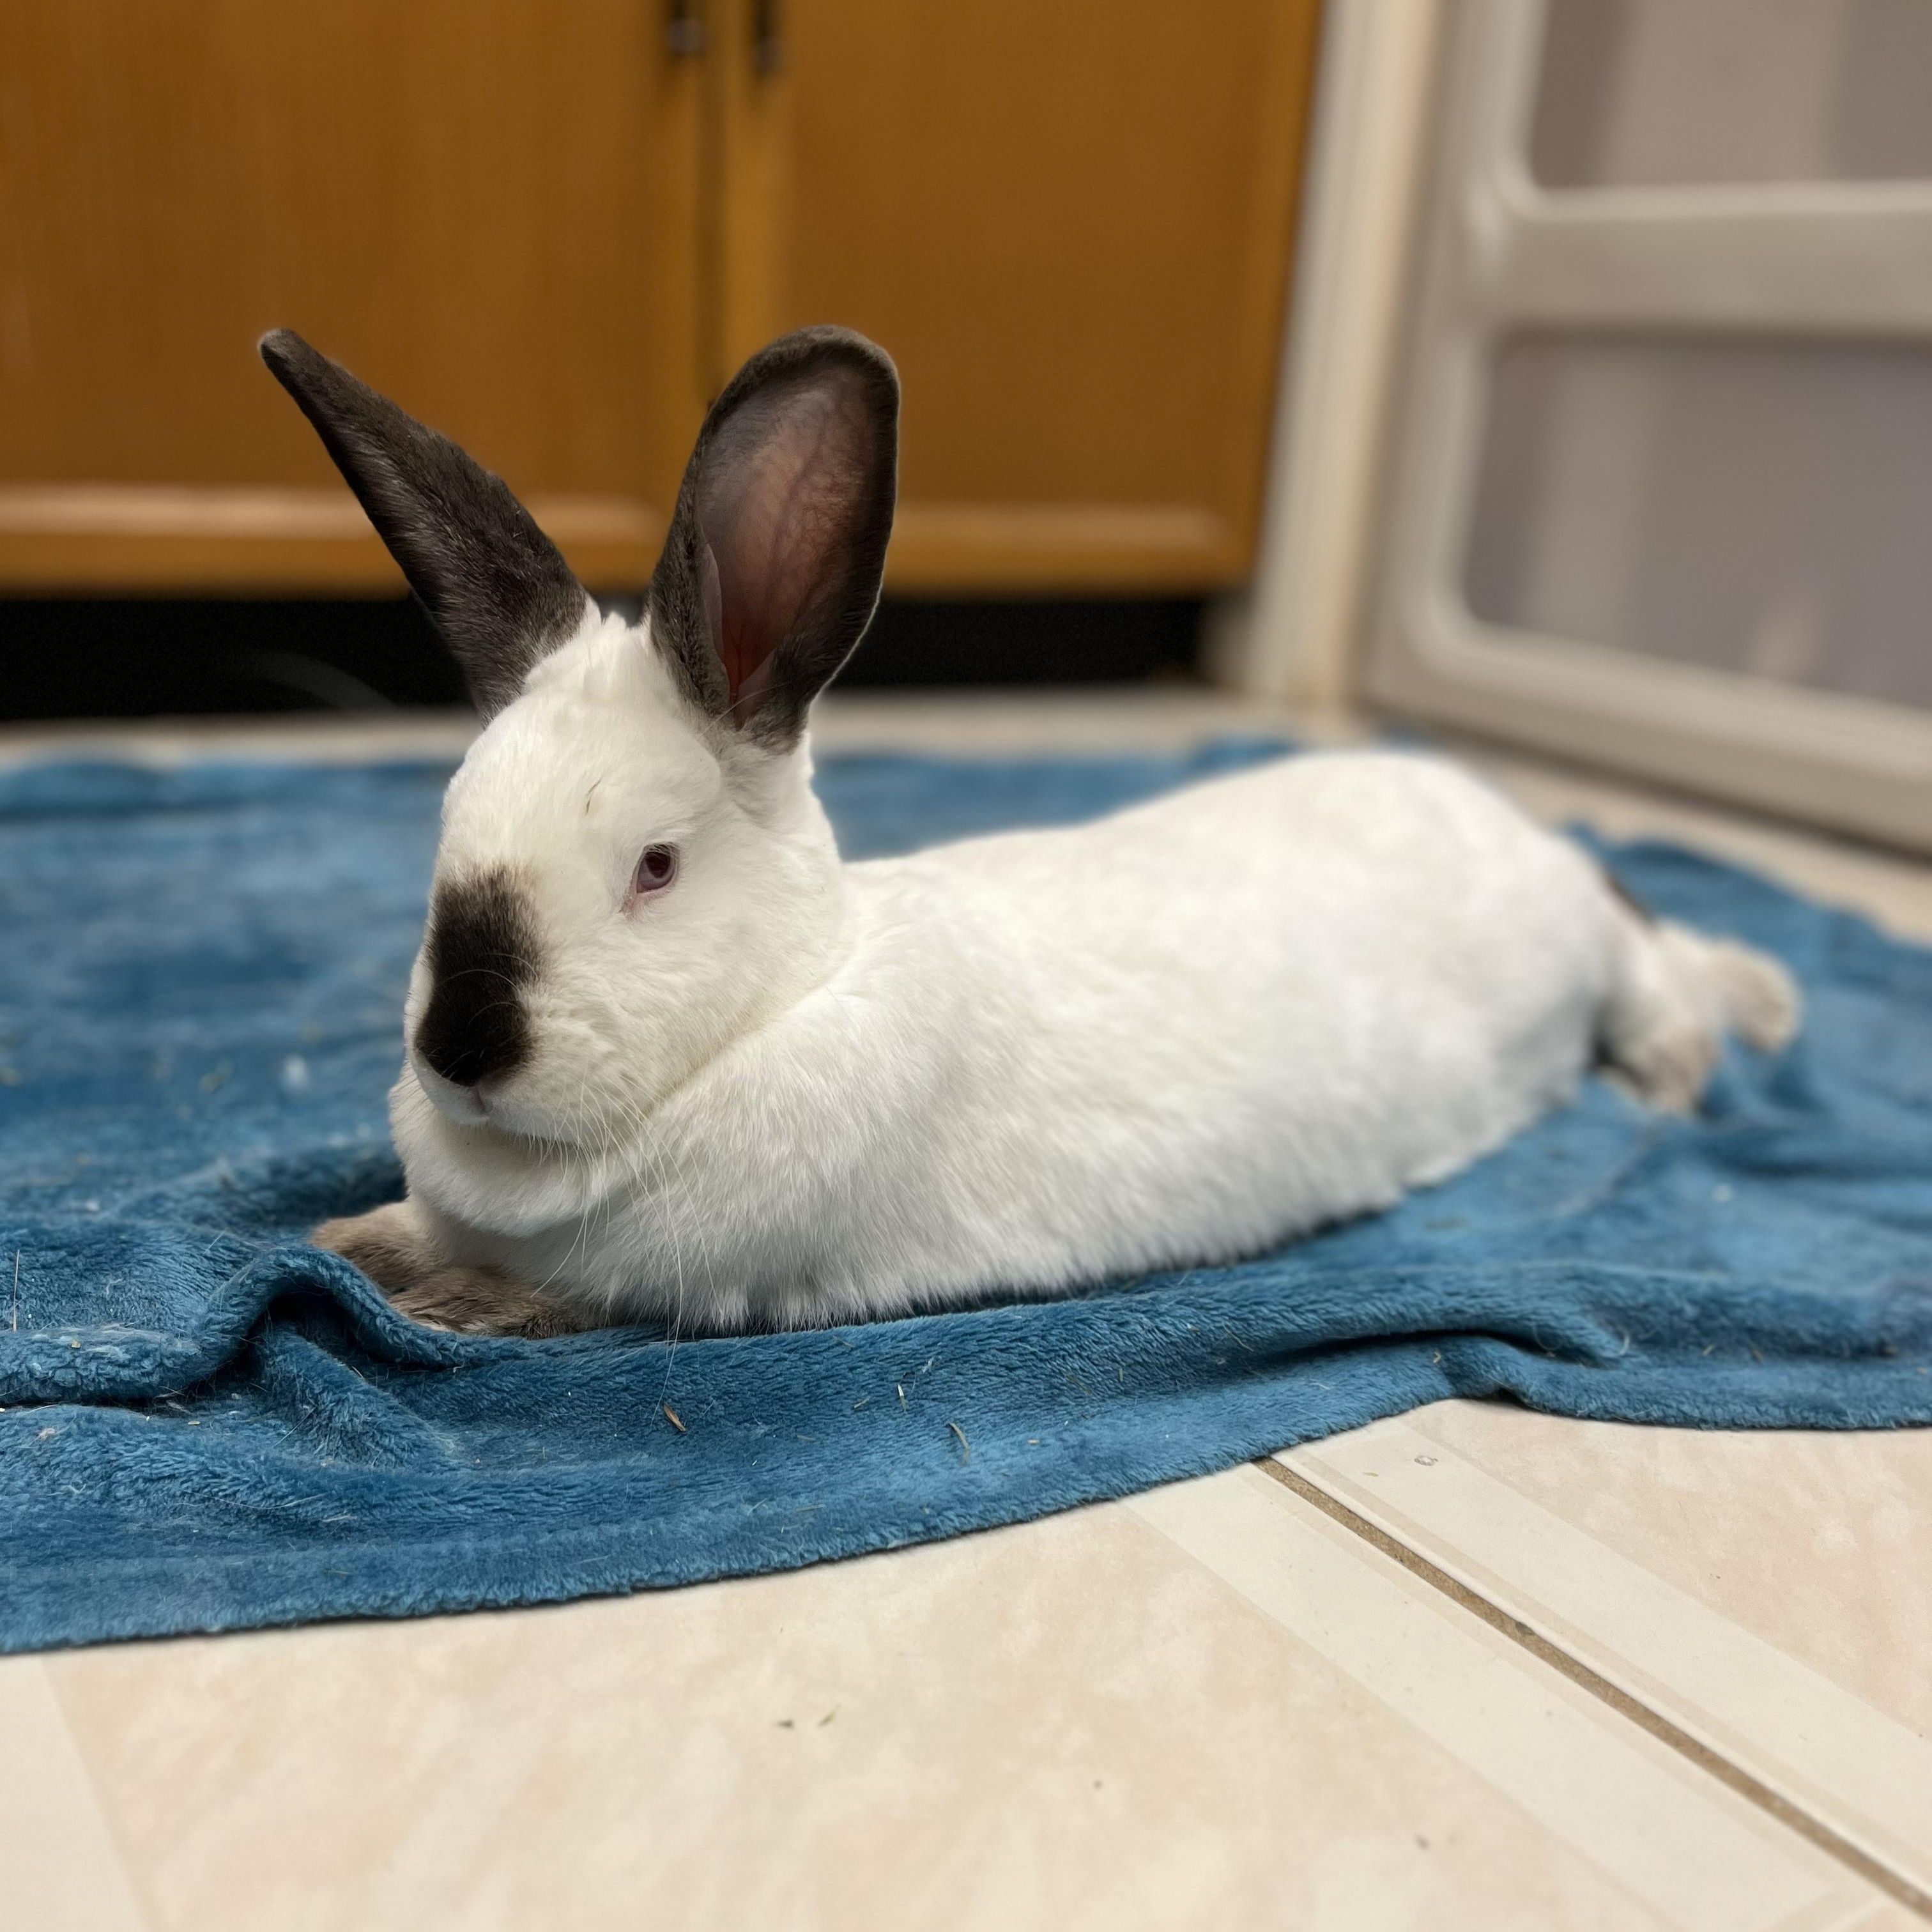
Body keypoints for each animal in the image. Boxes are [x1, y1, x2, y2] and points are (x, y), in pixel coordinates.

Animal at [261, 324, 1801, 1338]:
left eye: (654, 866)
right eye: (445, 835)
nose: (463, 1047)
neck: (787, 999)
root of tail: (1513, 822)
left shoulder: (685, 1286)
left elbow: (555, 1302)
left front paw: (434, 1289)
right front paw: (356, 1233)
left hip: (1584, 950)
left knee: (1654, 962)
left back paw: (1695, 1059)